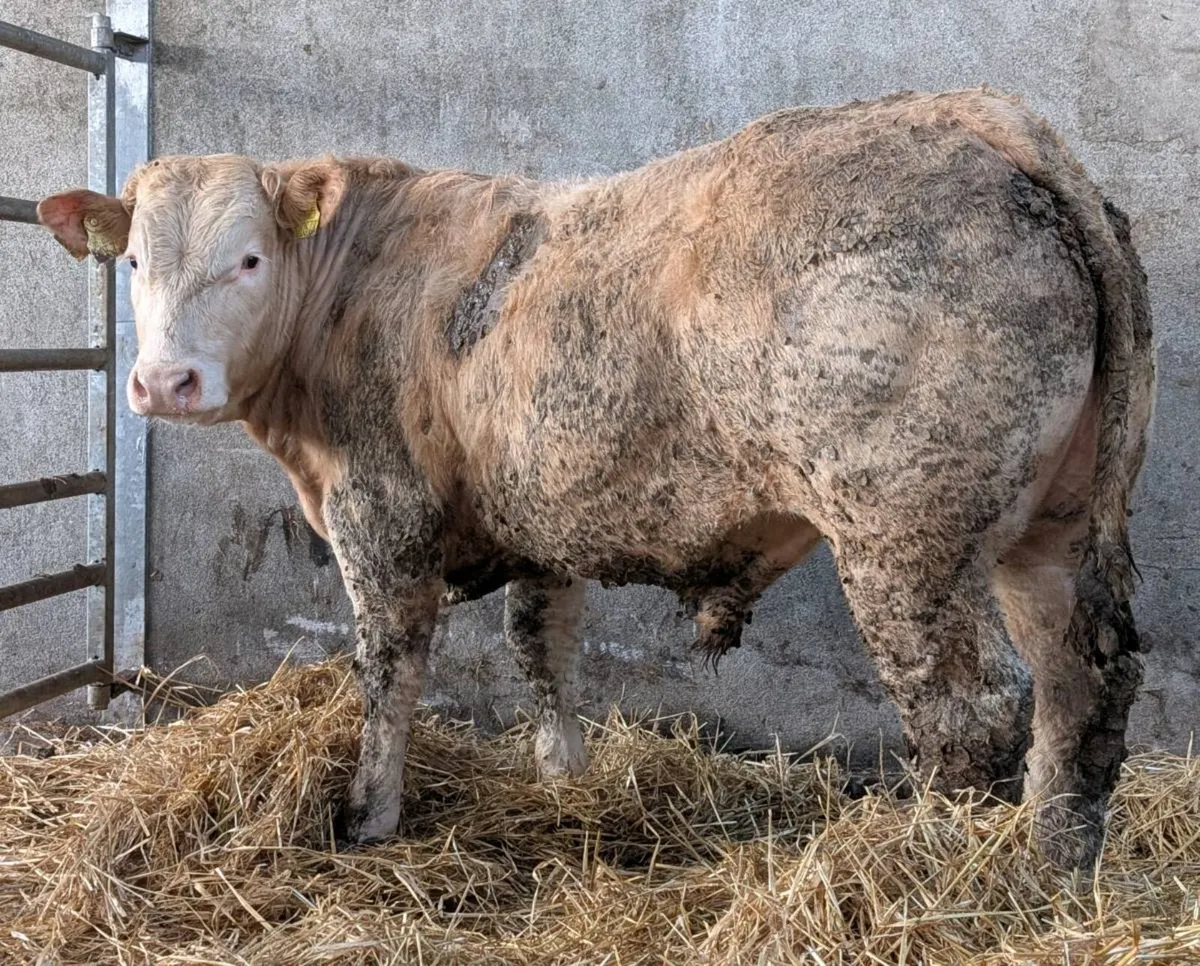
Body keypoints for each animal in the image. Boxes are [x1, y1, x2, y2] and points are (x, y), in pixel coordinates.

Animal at [36, 88, 1154, 870]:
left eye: (250, 259)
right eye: (130, 263)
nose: (163, 381)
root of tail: (988, 118)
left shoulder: (378, 512)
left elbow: (389, 671)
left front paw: (367, 815)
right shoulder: (539, 512)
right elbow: (543, 647)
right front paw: (562, 782)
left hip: (906, 535)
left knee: (973, 714)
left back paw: (936, 871)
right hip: (1050, 526)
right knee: (1080, 686)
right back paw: (1053, 869)